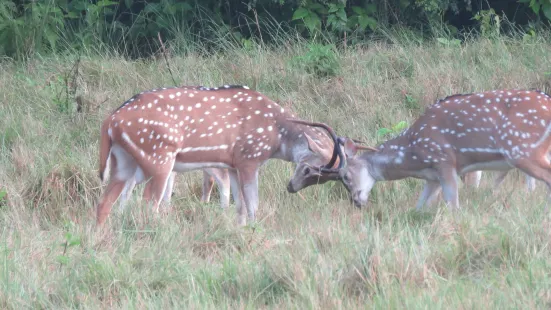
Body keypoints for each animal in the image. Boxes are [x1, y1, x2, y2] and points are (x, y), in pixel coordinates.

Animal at [97, 85, 338, 225]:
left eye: (324, 177)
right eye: (308, 169)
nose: (291, 187)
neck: (276, 138)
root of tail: (111, 121)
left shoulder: (232, 164)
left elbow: (240, 205)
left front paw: (241, 230)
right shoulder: (248, 158)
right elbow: (253, 204)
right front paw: (255, 229)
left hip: (123, 161)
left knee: (105, 202)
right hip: (158, 156)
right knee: (148, 204)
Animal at [288, 89, 551, 211]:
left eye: (344, 176)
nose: (357, 202)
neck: (414, 154)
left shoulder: (446, 163)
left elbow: (454, 207)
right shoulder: (432, 178)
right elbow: (419, 208)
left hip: (524, 151)